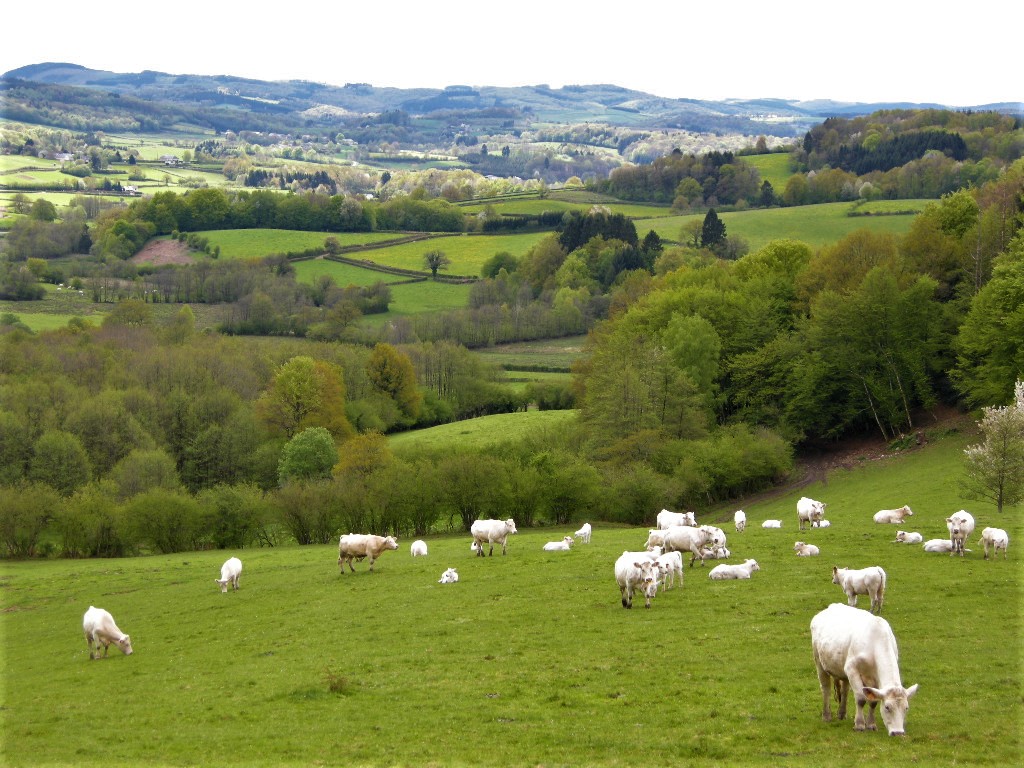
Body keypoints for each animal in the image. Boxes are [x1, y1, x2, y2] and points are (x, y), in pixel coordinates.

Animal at [806, 606, 921, 737]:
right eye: (887, 707)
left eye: (906, 708)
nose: (898, 733)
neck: (875, 642)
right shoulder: (851, 669)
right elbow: (861, 699)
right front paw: (859, 725)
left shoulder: (874, 678)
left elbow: (873, 702)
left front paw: (871, 724)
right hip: (819, 661)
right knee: (826, 689)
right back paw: (826, 716)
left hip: (842, 671)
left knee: (844, 690)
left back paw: (842, 714)